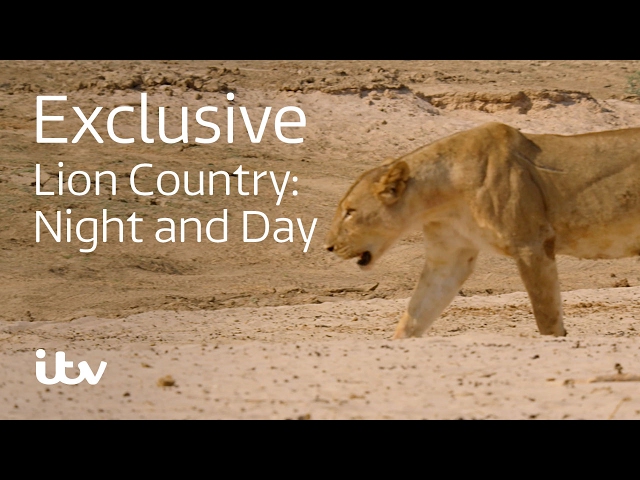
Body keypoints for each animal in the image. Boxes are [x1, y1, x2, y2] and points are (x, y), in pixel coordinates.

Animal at [324, 122, 640, 339]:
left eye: (350, 212)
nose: (328, 247)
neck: (441, 198)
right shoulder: (449, 257)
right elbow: (416, 313)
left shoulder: (533, 244)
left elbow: (547, 315)